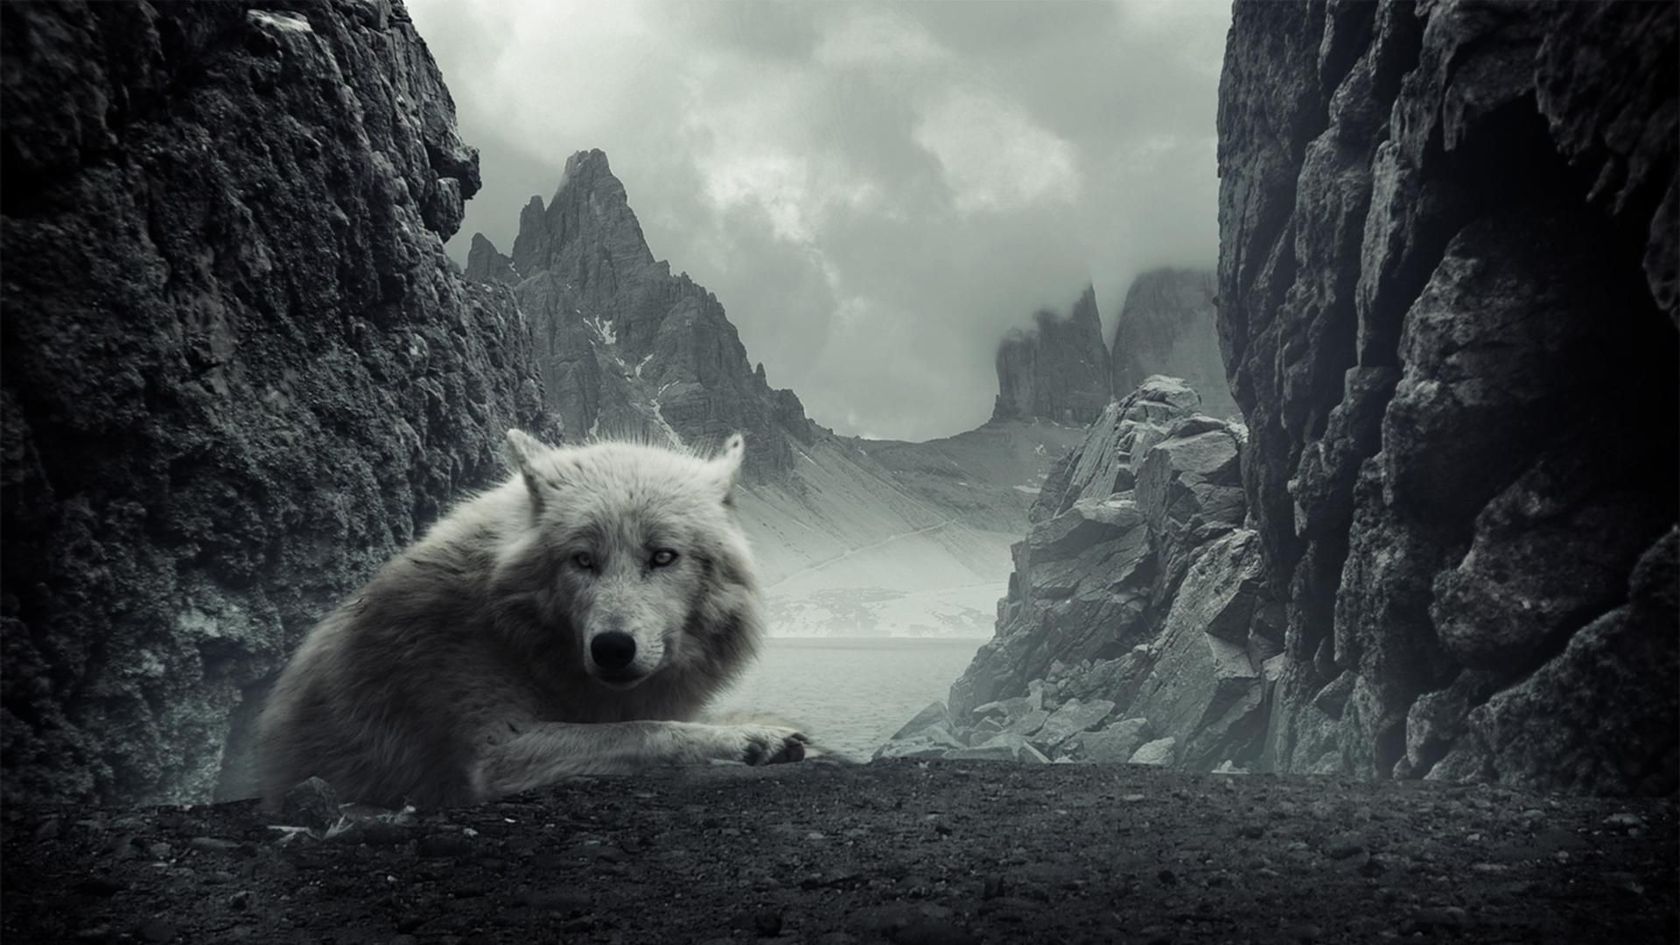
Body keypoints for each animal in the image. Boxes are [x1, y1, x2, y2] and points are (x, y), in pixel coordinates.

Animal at [257, 430, 807, 809]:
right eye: (582, 560)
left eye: (663, 557)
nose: (612, 648)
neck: (514, 635)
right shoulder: (496, 752)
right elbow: (646, 731)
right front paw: (753, 739)